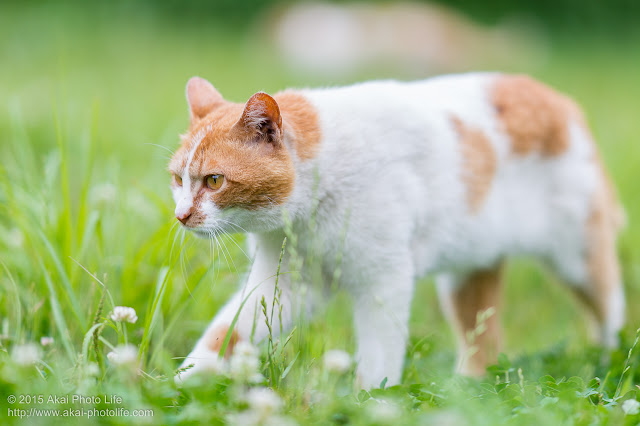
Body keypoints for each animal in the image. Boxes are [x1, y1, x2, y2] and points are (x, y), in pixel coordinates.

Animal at [170, 74, 624, 390]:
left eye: (214, 181)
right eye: (177, 179)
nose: (181, 215)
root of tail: (559, 100)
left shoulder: (383, 280)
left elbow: (379, 352)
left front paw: (370, 401)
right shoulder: (288, 284)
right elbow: (227, 331)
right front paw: (183, 380)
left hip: (578, 258)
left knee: (609, 308)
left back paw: (611, 363)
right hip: (467, 274)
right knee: (484, 339)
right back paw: (470, 391)